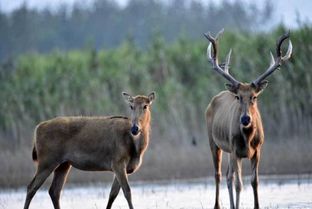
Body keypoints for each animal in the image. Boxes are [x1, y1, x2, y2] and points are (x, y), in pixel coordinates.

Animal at [22, 91, 156, 209]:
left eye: (145, 106)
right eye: (131, 106)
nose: (135, 128)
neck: (136, 149)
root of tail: (37, 128)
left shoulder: (122, 167)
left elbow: (112, 194)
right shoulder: (118, 162)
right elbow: (127, 191)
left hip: (63, 164)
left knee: (54, 191)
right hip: (47, 160)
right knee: (31, 187)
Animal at [205, 29, 292, 209]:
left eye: (254, 97)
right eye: (238, 97)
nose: (245, 119)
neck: (248, 138)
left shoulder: (258, 149)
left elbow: (254, 181)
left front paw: (257, 205)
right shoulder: (235, 150)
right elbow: (239, 184)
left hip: (228, 149)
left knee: (228, 175)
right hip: (214, 141)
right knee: (218, 174)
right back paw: (217, 205)